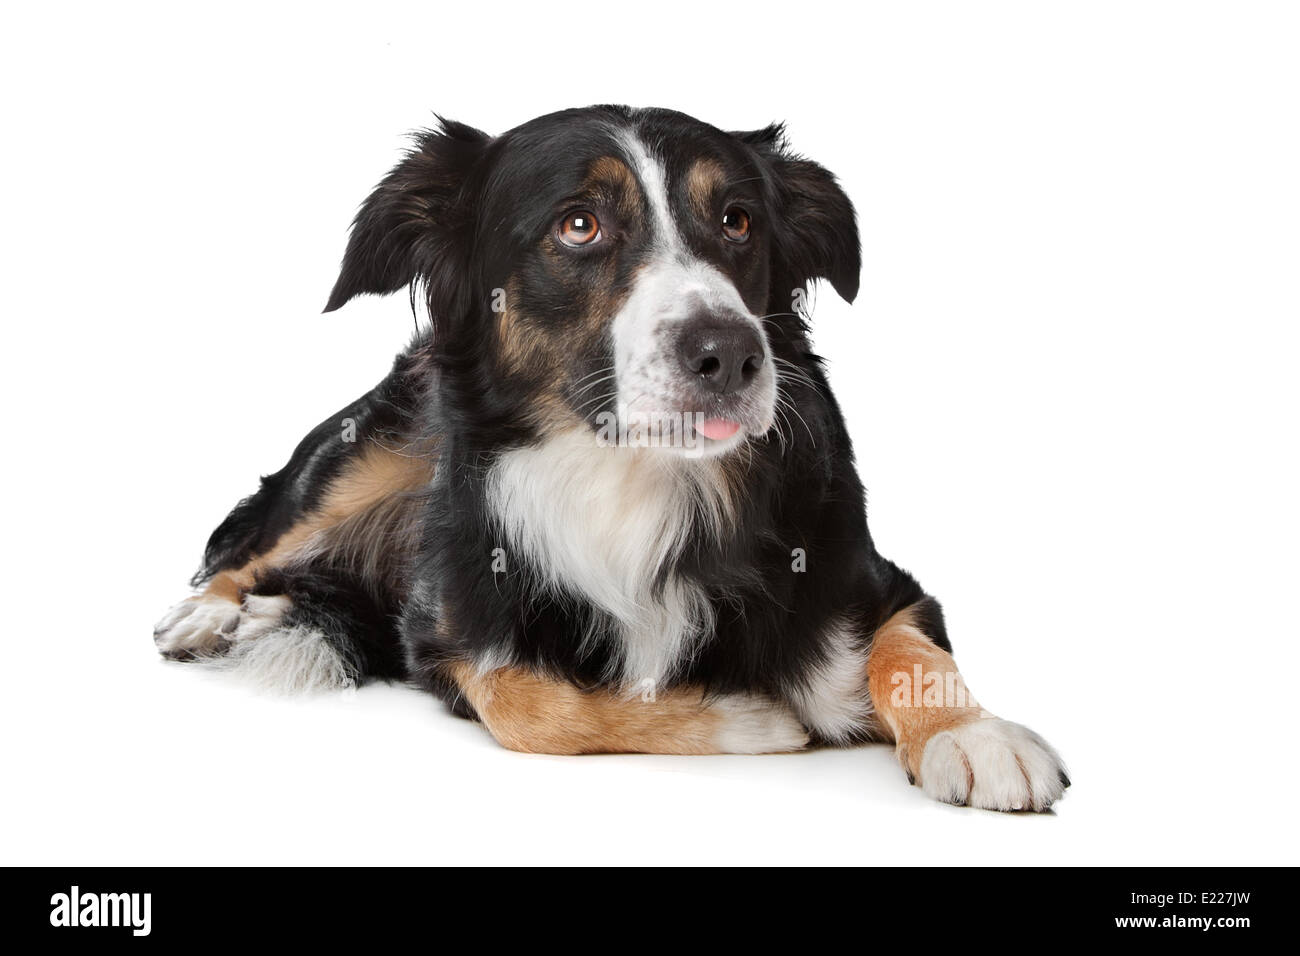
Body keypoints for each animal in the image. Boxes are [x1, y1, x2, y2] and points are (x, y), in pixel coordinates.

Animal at [154, 106, 1066, 816]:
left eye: (738, 221)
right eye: (579, 224)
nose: (732, 355)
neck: (636, 482)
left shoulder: (877, 580)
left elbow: (909, 650)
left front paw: (975, 735)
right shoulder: (451, 633)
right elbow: (529, 702)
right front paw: (744, 720)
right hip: (370, 452)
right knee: (255, 544)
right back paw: (211, 613)